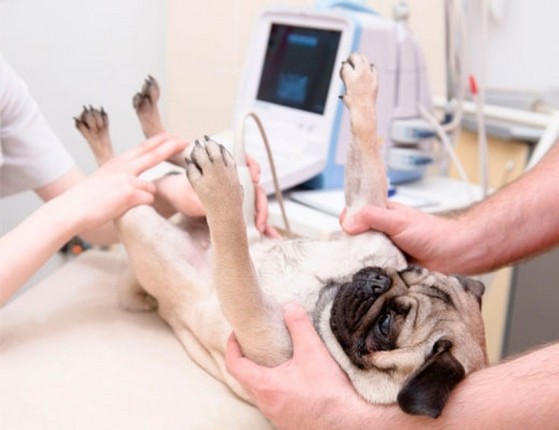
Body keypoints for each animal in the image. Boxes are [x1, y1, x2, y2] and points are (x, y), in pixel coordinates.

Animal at [76, 52, 488, 418]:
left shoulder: (256, 325)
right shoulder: (363, 214)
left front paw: (219, 190)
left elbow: (237, 261)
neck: (324, 299)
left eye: (385, 326)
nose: (375, 280)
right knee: (179, 158)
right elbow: (369, 151)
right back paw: (151, 121)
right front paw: (362, 87)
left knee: (131, 187)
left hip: (146, 233)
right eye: (408, 271)